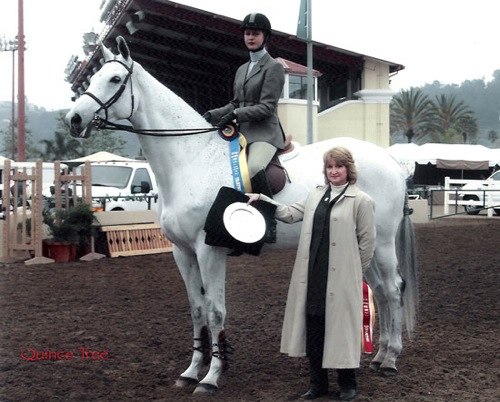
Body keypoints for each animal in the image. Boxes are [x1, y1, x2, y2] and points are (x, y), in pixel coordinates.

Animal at [66, 36, 418, 394]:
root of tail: (392, 162)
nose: (74, 119)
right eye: (93, 79)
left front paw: (211, 378)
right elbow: (197, 310)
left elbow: (215, 311)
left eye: (114, 79)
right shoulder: (182, 252)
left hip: (381, 242)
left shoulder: (208, 249)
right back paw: (378, 356)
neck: (191, 160)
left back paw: (390, 359)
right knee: (380, 290)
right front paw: (191, 371)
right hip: (363, 244)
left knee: (392, 289)